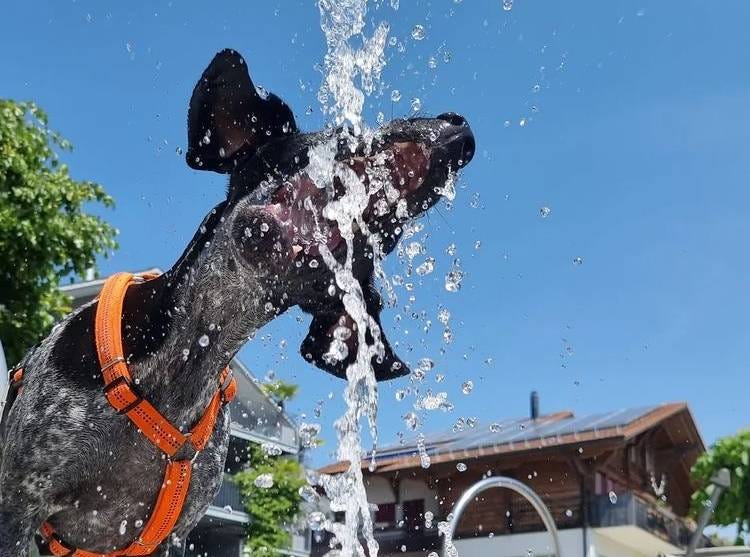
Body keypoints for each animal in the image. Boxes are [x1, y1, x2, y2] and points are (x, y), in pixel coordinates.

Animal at [0, 48, 476, 556]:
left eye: (391, 234)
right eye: (349, 133)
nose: (462, 129)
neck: (187, 359)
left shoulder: (173, 535)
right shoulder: (18, 508)